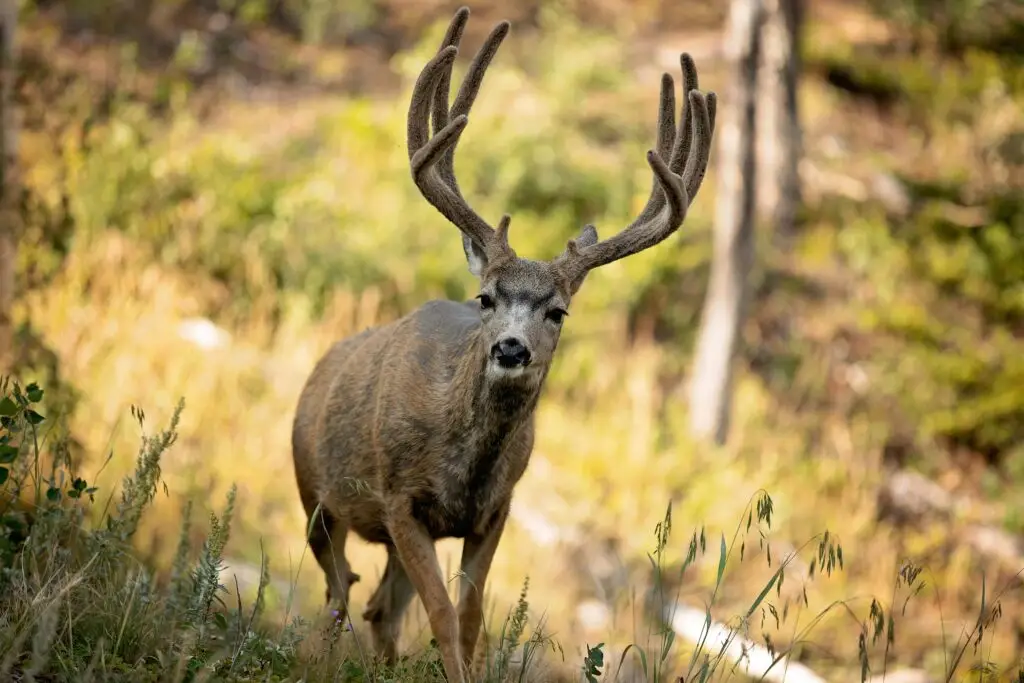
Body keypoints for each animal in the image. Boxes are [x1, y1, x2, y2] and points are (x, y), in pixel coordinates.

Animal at [290, 6, 716, 682]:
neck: (464, 462)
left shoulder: (495, 510)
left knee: (377, 604)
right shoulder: (399, 498)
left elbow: (469, 618)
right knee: (338, 593)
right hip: (314, 493)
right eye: (486, 298)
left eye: (558, 312)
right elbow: (441, 614)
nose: (512, 349)